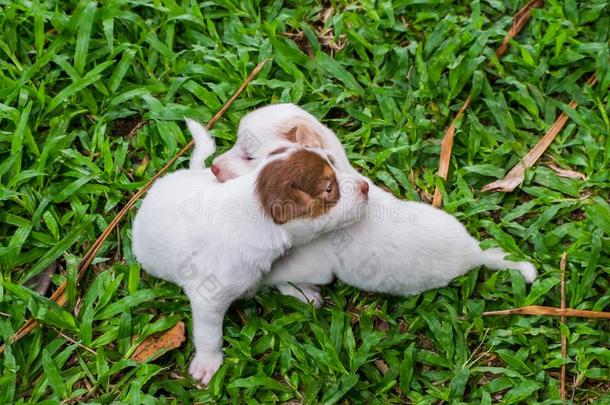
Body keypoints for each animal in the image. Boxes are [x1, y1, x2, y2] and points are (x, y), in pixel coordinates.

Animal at [132, 122, 366, 382]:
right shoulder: (208, 297)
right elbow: (208, 334)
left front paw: (302, 292)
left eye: (333, 162)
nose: (365, 186)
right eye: (329, 189)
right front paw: (207, 362)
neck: (254, 209)